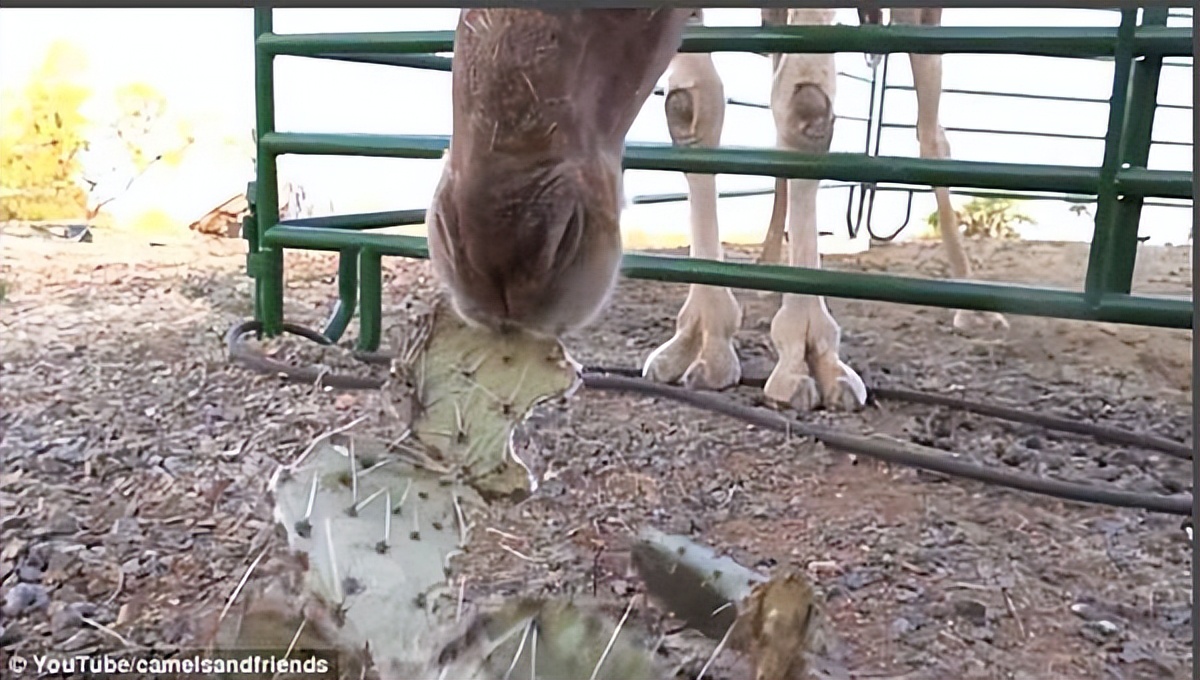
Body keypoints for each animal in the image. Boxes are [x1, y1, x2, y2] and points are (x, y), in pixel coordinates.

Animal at [427, 7, 1008, 413]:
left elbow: (804, 102)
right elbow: (691, 106)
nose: (499, 260)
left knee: (931, 129)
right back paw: (770, 268)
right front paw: (703, 339)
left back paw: (972, 301)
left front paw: (806, 355)